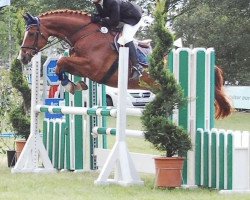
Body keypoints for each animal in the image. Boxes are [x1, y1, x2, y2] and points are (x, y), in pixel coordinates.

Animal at [20, 9, 232, 119]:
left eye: (31, 33)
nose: (23, 57)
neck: (84, 34)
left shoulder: (93, 67)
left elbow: (61, 62)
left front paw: (70, 85)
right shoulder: (82, 65)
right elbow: (62, 65)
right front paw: (76, 85)